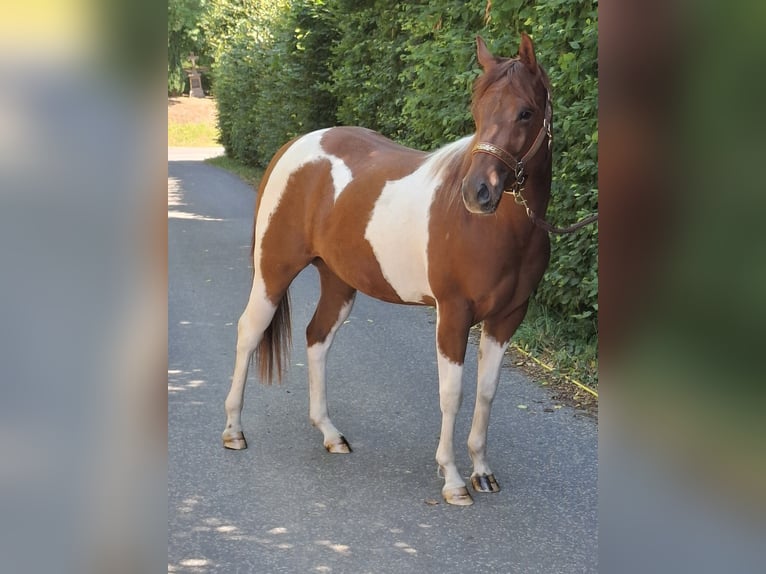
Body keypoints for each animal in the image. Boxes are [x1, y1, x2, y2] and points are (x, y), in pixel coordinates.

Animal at [222, 33, 553, 506]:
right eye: (477, 109)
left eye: (525, 111)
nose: (478, 192)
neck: (496, 230)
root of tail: (295, 146)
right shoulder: (454, 314)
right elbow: (452, 393)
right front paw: (453, 478)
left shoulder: (508, 318)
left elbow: (487, 393)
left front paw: (482, 471)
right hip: (273, 271)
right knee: (249, 332)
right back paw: (234, 431)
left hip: (338, 283)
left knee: (316, 338)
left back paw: (331, 434)